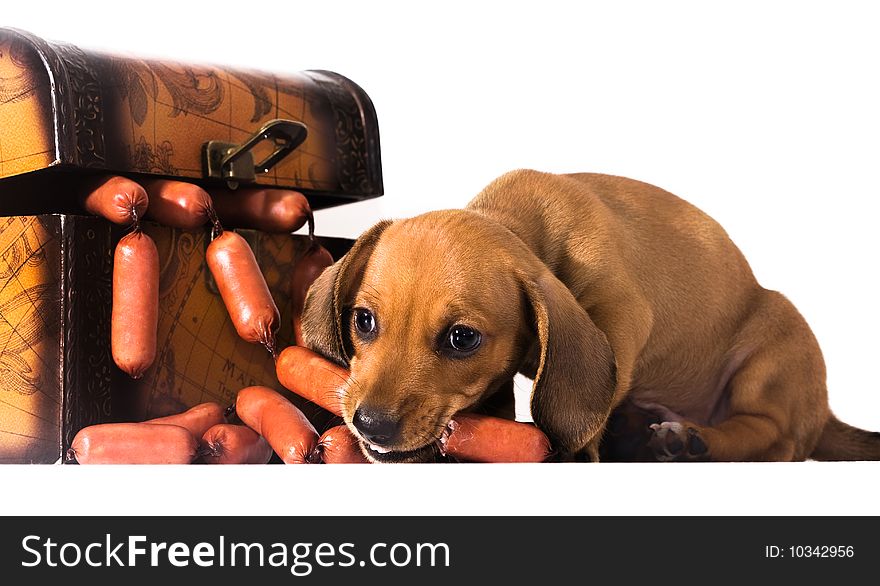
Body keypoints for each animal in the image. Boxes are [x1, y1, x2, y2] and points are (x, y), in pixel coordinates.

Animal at [302, 169, 880, 460]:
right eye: (363, 321)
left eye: (462, 339)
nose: (370, 425)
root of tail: (823, 413)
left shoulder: (620, 315)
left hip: (775, 343)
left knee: (773, 437)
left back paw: (690, 440)